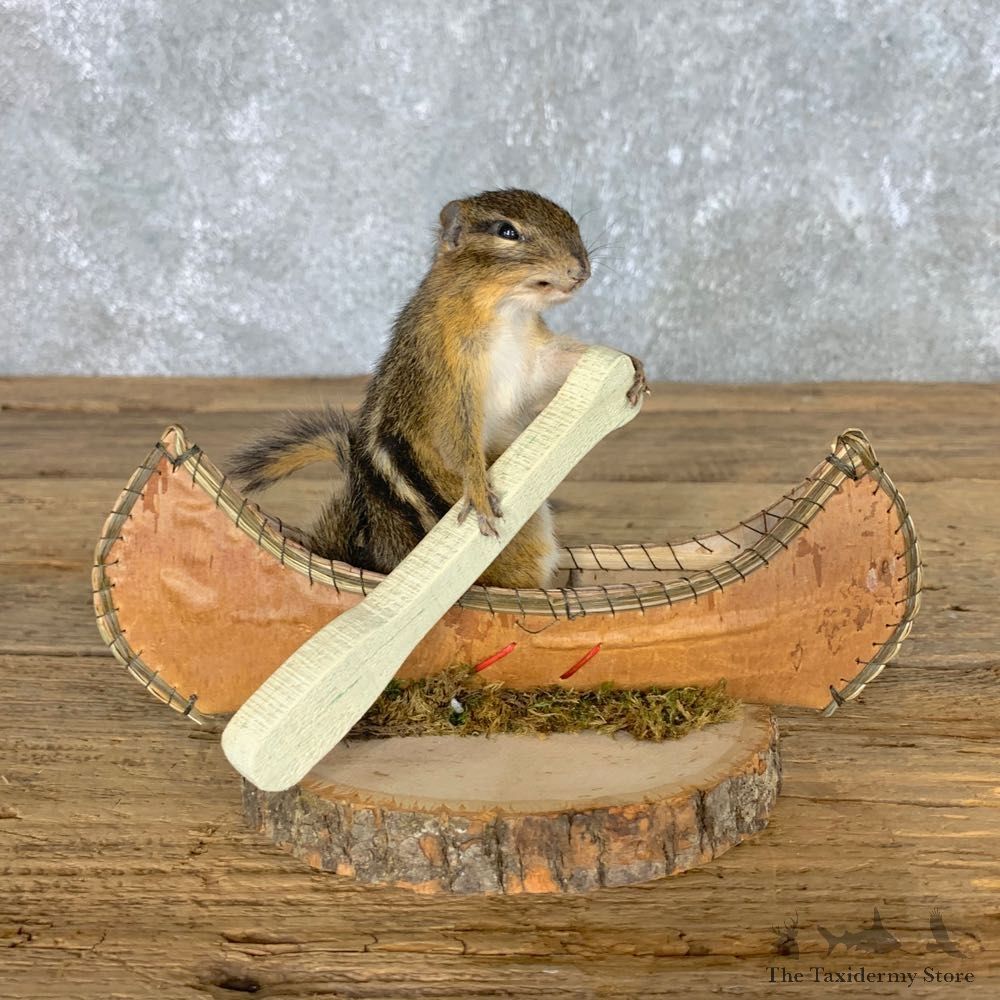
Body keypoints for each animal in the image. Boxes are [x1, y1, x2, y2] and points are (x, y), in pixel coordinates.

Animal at [229, 188, 647, 589]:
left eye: (571, 221)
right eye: (507, 231)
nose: (582, 268)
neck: (506, 311)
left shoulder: (533, 355)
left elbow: (556, 363)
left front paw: (633, 365)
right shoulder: (446, 380)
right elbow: (455, 440)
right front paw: (477, 488)